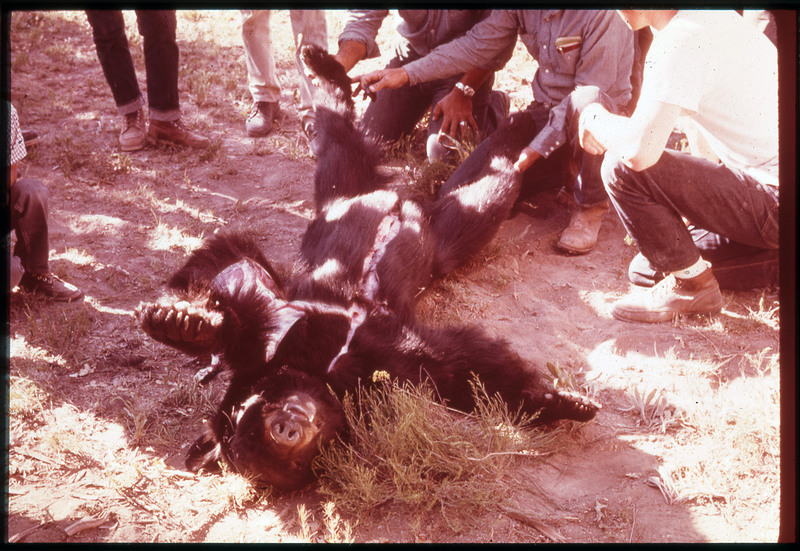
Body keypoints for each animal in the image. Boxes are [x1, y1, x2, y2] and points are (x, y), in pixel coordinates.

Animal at [138, 46, 600, 492]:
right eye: (256, 442)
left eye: (257, 408)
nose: (285, 426)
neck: (323, 373)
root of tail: (398, 200)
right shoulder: (397, 371)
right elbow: (463, 366)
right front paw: (566, 403)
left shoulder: (286, 338)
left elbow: (243, 299)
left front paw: (181, 323)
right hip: (429, 237)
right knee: (483, 193)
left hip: (341, 191)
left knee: (337, 139)